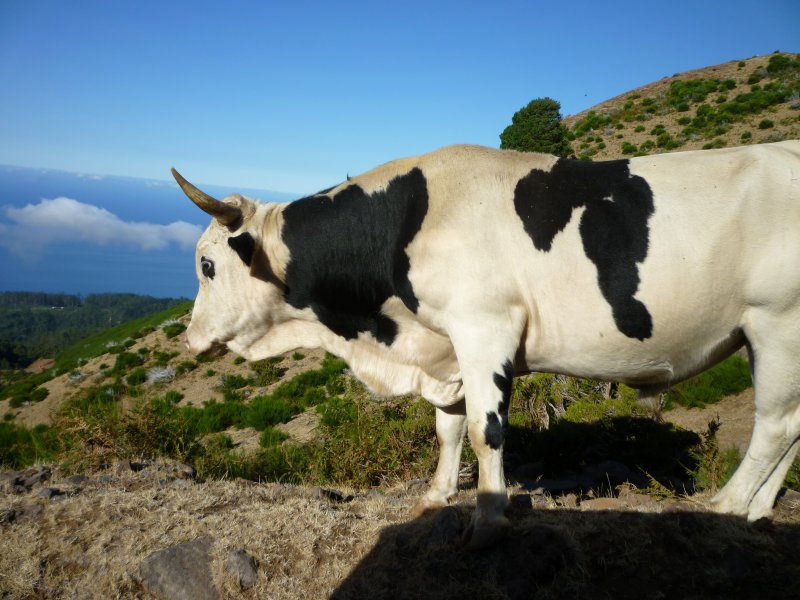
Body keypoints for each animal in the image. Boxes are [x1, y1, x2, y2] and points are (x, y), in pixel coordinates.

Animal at [173, 140, 800, 547]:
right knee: (793, 427)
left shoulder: (484, 328)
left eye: (206, 265)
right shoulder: (447, 347)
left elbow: (484, 429)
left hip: (777, 324)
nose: (188, 339)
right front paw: (436, 496)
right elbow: (447, 428)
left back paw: (725, 508)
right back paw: (757, 513)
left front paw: (489, 519)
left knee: (773, 426)